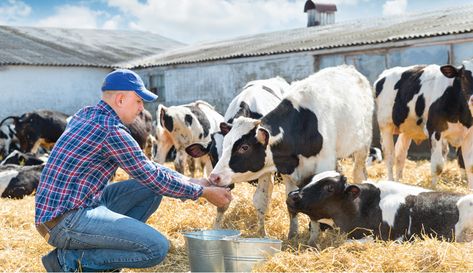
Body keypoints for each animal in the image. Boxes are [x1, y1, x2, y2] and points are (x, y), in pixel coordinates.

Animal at [183, 76, 288, 234]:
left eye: (241, 149)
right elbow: (222, 205)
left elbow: (260, 200)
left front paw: (262, 233)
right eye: (212, 156)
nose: (216, 178)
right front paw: (216, 229)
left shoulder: (266, 172)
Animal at [208, 65, 374, 244]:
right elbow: (290, 205)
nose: (214, 177)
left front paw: (313, 240)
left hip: (362, 145)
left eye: (244, 147)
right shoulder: (289, 172)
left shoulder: (323, 166)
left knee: (359, 173)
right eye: (225, 144)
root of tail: (348, 68)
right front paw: (293, 235)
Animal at [374, 61, 470, 189]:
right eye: (464, 77)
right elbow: (438, 165)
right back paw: (391, 181)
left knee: (400, 155)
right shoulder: (435, 130)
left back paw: (400, 181)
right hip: (386, 125)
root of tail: (385, 73)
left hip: (407, 129)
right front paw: (434, 188)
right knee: (390, 156)